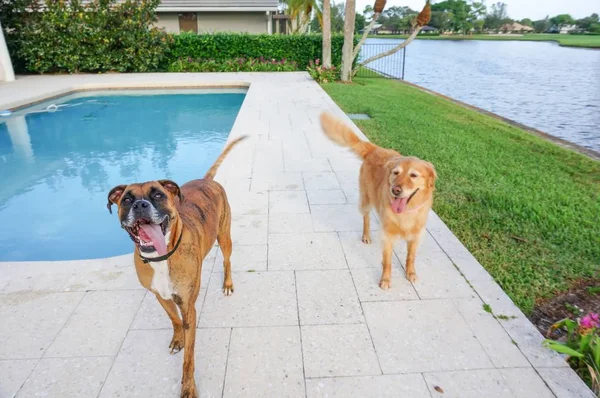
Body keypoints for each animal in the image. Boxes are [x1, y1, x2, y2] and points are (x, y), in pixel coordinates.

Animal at [107, 136, 246, 398]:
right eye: (127, 199)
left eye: (158, 196)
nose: (140, 205)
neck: (161, 258)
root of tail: (206, 180)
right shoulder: (160, 296)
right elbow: (173, 319)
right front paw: (177, 339)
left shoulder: (189, 308)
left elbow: (189, 359)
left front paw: (188, 387)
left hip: (224, 236)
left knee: (227, 259)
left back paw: (227, 283)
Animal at [318, 112, 436, 290]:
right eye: (396, 173)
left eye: (413, 175)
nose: (395, 190)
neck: (406, 212)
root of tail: (375, 148)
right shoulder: (387, 236)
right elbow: (387, 262)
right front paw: (385, 280)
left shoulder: (416, 236)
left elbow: (411, 257)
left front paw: (411, 273)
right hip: (366, 199)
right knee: (366, 218)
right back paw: (366, 235)